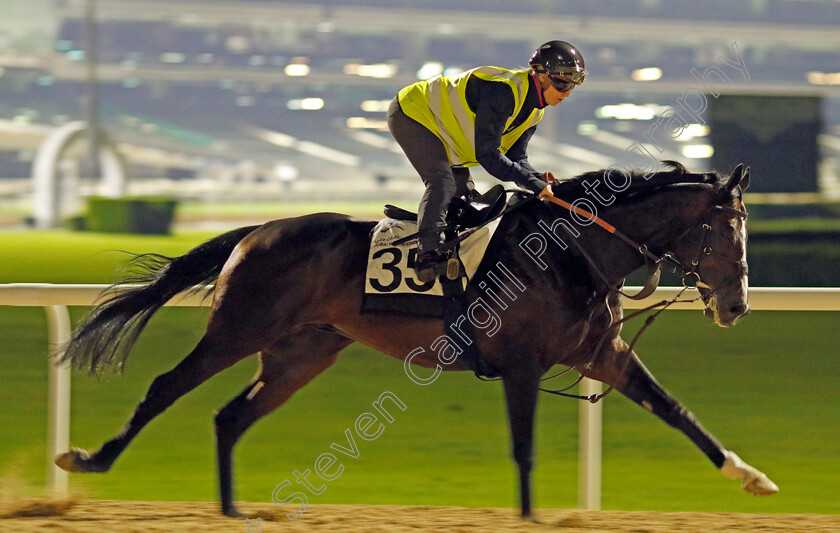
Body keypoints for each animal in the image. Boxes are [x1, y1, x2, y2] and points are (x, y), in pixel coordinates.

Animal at [52, 160, 776, 516]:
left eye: (744, 229)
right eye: (722, 230)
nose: (737, 305)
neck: (574, 252)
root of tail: (257, 229)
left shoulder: (604, 354)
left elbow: (677, 411)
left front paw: (751, 477)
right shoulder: (522, 362)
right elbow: (524, 448)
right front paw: (528, 513)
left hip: (301, 352)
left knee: (231, 416)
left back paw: (231, 510)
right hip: (237, 327)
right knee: (165, 386)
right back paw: (87, 458)